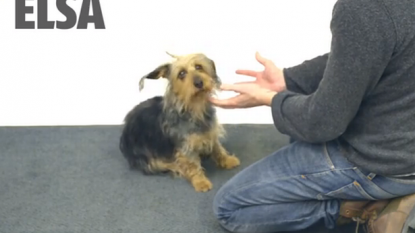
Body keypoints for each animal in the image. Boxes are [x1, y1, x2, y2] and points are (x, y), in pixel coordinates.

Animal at [118, 52, 242, 192]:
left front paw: (227, 160)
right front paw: (200, 181)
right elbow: (192, 164)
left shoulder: (210, 131)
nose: (199, 83)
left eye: (198, 67)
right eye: (181, 73)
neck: (195, 108)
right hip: (148, 158)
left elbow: (217, 147)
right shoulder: (185, 146)